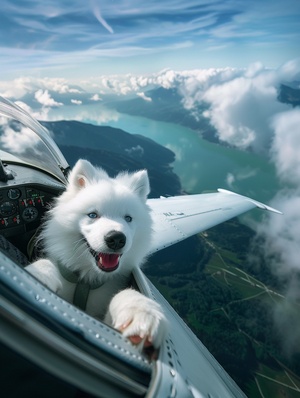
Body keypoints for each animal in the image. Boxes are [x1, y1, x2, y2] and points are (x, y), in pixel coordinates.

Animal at [26, 160, 168, 350]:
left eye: (128, 218)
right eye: (92, 215)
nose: (116, 238)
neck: (86, 281)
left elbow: (124, 297)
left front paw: (142, 312)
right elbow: (45, 264)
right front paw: (38, 275)